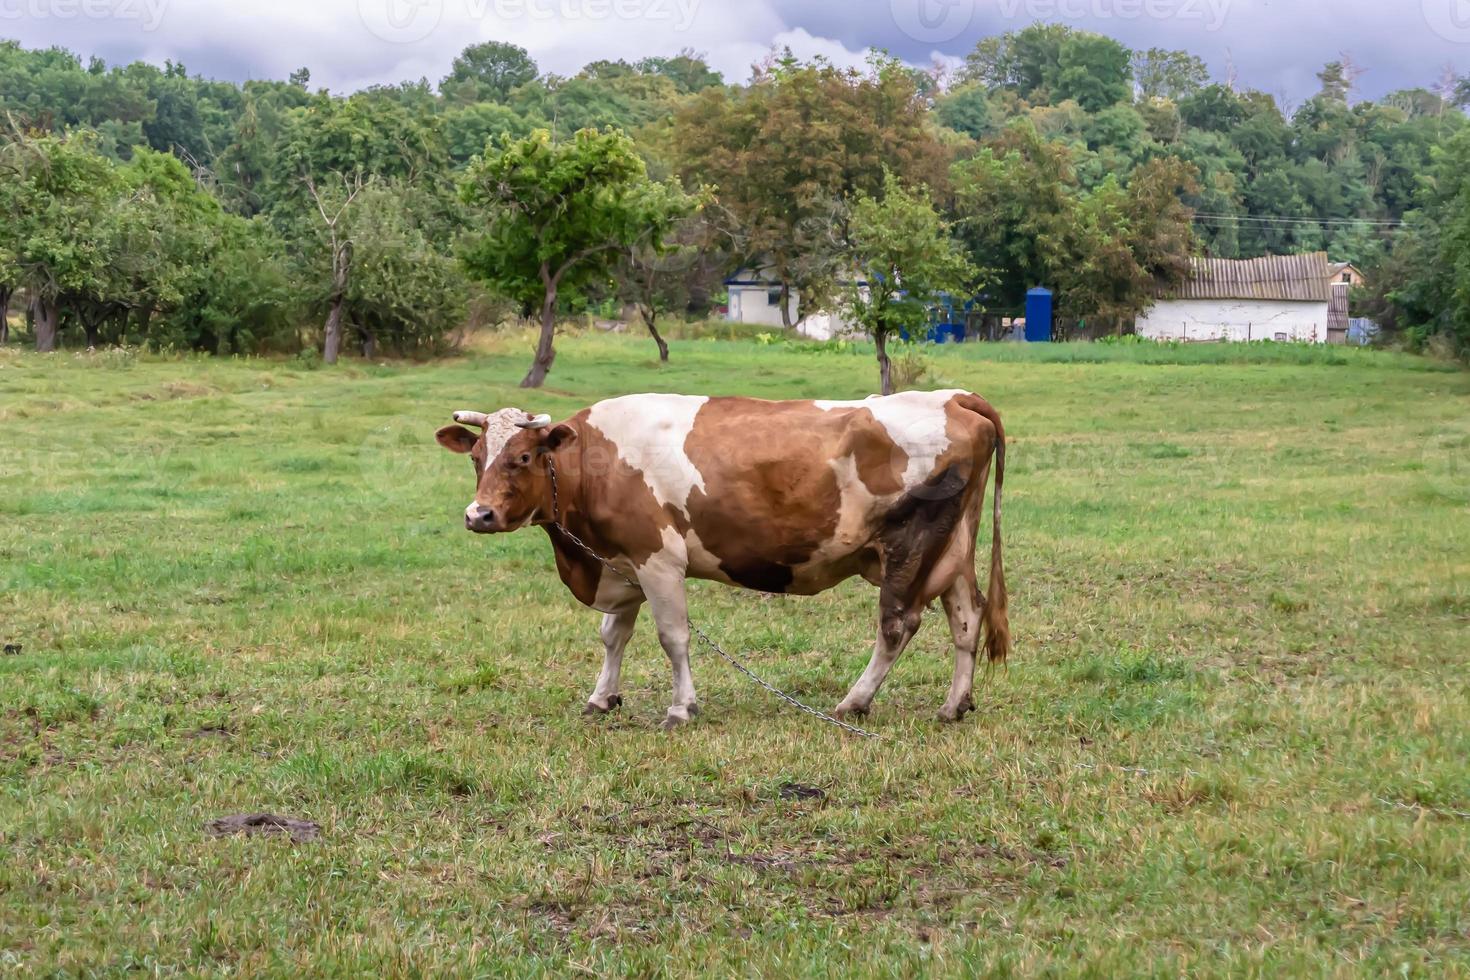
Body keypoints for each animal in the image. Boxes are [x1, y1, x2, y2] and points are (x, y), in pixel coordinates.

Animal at [435, 390, 1011, 728]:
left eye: (522, 457)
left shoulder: (658, 560)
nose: (479, 514)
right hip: (953, 548)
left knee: (898, 625)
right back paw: (954, 704)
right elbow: (613, 635)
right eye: (476, 457)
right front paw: (602, 697)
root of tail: (953, 397)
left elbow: (672, 637)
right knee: (967, 617)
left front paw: (680, 708)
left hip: (911, 546)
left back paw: (855, 702)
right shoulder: (622, 560)